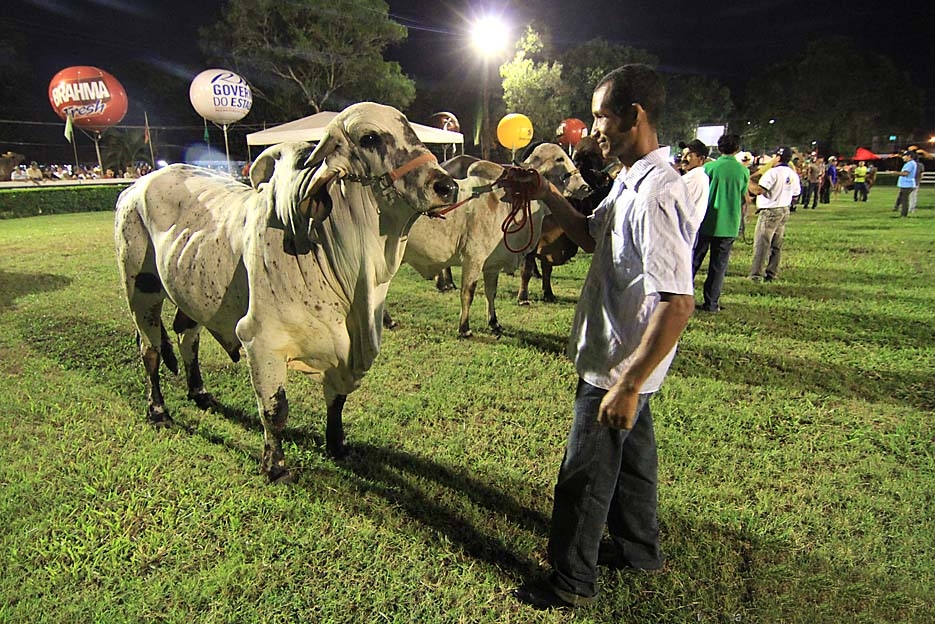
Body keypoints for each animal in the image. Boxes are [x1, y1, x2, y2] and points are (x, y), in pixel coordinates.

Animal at [113, 102, 458, 482]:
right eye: (369, 137)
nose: (447, 187)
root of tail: (136, 186)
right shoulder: (261, 342)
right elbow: (275, 410)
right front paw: (275, 466)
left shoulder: (347, 351)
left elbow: (337, 400)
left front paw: (336, 445)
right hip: (140, 290)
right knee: (150, 351)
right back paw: (158, 410)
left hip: (190, 290)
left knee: (188, 337)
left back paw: (200, 393)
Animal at [392, 143, 588, 336]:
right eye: (559, 159)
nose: (586, 187)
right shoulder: (473, 259)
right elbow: (468, 292)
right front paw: (464, 327)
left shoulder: (492, 264)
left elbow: (491, 292)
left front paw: (494, 322)